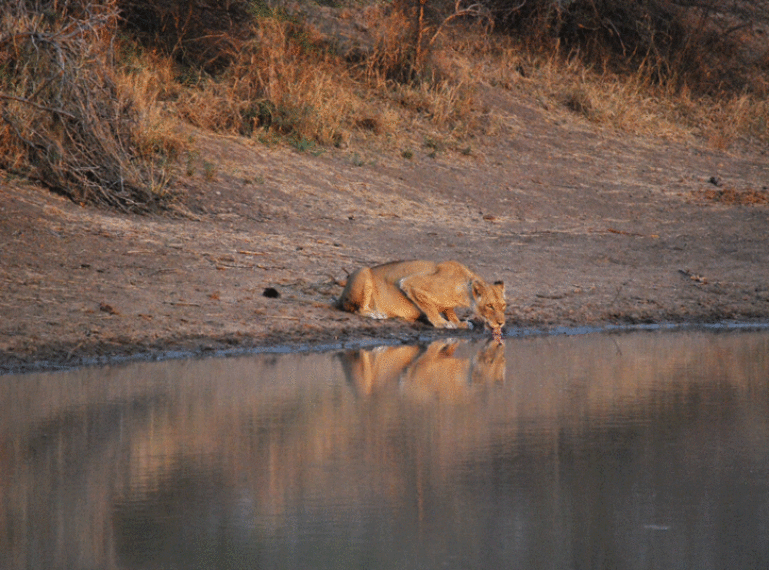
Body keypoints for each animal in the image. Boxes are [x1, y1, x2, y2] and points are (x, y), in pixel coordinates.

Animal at [336, 258, 504, 330]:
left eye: (503, 306)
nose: (501, 323)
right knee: (358, 309)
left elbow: (449, 310)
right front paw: (442, 323)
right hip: (364, 271)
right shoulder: (410, 283)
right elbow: (430, 307)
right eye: (490, 305)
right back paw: (376, 314)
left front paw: (458, 322)